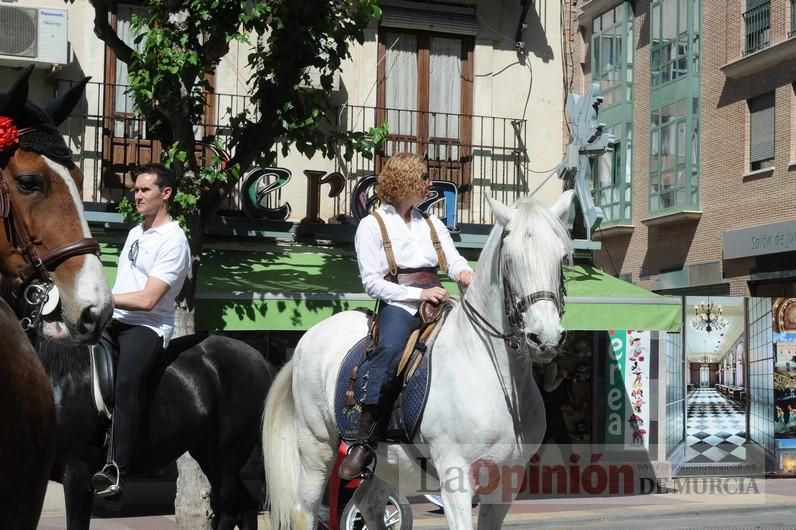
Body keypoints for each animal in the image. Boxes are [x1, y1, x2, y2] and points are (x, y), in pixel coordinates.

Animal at [264, 191, 576, 528]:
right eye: (509, 260)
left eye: (561, 257)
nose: (545, 338)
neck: (496, 378)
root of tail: (309, 338)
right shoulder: (456, 478)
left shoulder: (507, 481)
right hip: (316, 450)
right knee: (305, 510)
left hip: (385, 464)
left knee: (369, 504)